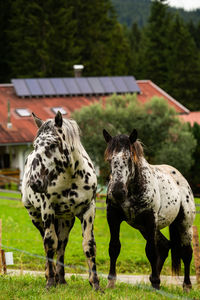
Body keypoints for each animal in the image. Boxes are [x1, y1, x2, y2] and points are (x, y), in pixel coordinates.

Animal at [21, 111, 99, 290]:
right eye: (35, 145)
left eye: (52, 144)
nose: (35, 183)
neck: (71, 177)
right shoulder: (47, 210)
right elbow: (50, 243)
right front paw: (50, 282)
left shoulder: (88, 210)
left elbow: (89, 245)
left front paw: (95, 283)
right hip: (36, 217)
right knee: (48, 242)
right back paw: (51, 277)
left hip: (66, 220)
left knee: (62, 245)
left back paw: (61, 279)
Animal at [103, 128, 195, 290]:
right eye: (109, 160)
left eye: (129, 159)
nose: (118, 192)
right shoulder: (113, 217)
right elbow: (114, 247)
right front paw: (111, 282)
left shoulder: (150, 219)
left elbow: (151, 251)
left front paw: (157, 282)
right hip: (145, 228)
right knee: (164, 246)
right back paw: (153, 279)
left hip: (184, 225)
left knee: (186, 252)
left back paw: (186, 285)